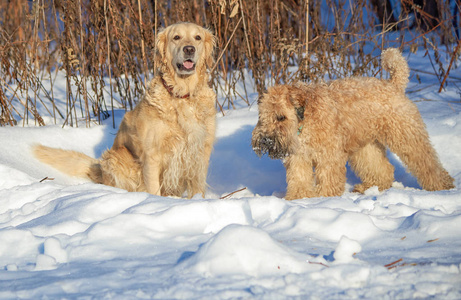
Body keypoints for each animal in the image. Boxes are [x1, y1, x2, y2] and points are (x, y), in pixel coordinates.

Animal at [34, 22, 217, 198]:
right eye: (176, 37)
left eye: (198, 37)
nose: (189, 49)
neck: (183, 94)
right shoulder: (152, 155)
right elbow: (153, 188)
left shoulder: (200, 151)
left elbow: (198, 187)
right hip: (117, 157)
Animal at [252, 48, 452, 199]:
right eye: (262, 116)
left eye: (281, 117)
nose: (266, 140)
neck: (305, 121)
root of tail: (393, 84)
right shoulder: (299, 158)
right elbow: (299, 180)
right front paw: (298, 199)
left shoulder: (329, 156)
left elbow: (329, 180)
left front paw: (324, 199)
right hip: (366, 146)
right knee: (382, 169)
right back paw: (370, 187)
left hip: (406, 136)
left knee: (427, 163)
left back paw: (442, 185)